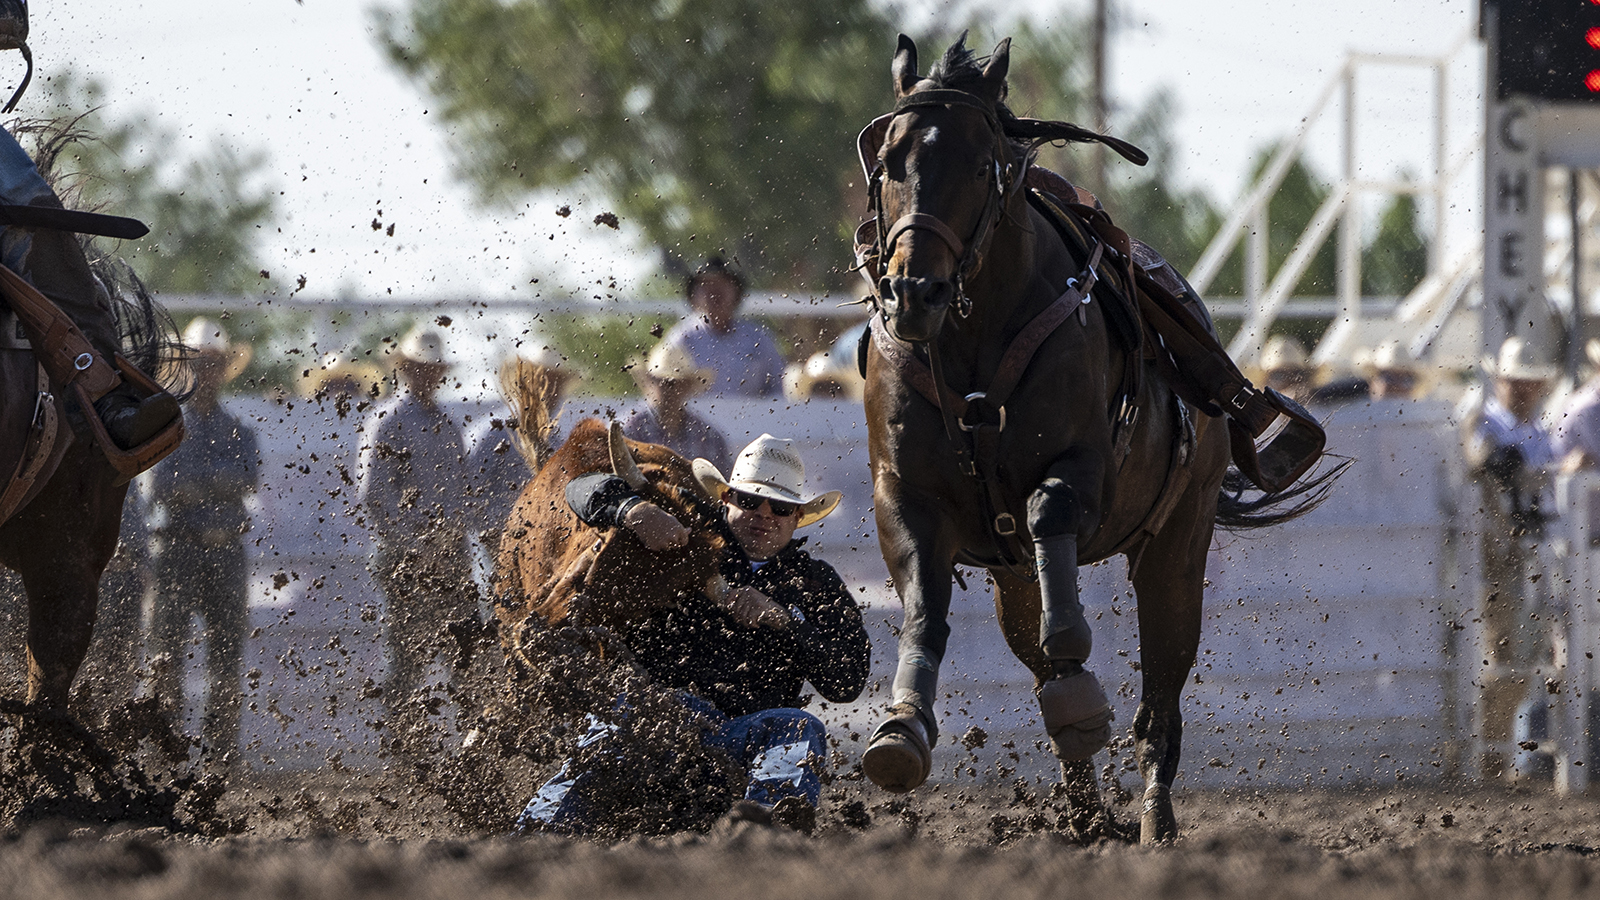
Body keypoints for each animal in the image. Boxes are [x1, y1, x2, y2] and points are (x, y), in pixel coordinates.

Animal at [857, 35, 1331, 839]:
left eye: (981, 164)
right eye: (889, 162)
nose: (914, 291)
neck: (973, 342)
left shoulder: (1083, 469)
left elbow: (1051, 518)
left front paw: (1076, 653)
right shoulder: (906, 496)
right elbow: (924, 604)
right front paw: (900, 730)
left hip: (1177, 551)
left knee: (1159, 701)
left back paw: (1152, 818)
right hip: (1014, 577)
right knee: (1046, 665)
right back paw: (1082, 803)